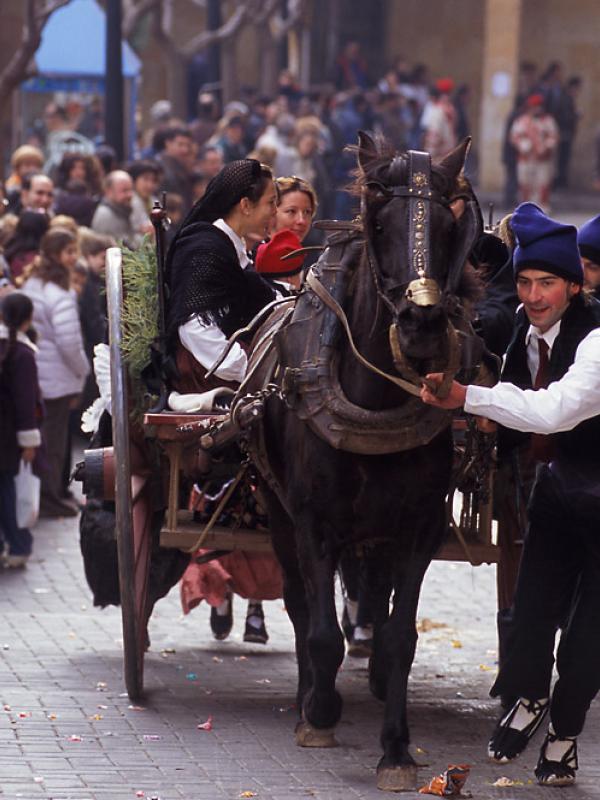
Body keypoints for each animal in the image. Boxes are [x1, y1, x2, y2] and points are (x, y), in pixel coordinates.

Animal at [244, 134, 488, 792]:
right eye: (379, 223)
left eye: (452, 227)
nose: (424, 325)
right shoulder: (311, 522)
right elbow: (320, 630)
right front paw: (320, 712)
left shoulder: (418, 527)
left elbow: (400, 637)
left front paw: (397, 748)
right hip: (278, 514)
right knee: (300, 604)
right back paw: (307, 697)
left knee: (372, 601)